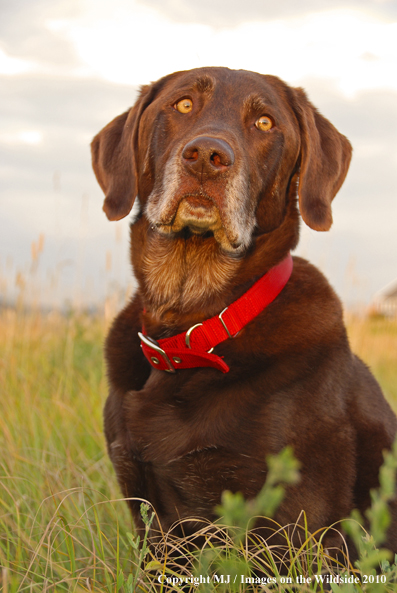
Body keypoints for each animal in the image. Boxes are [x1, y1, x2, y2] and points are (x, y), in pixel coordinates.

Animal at [91, 67, 396, 552]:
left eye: (265, 123)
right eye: (182, 104)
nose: (206, 156)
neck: (192, 327)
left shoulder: (293, 526)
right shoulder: (150, 516)